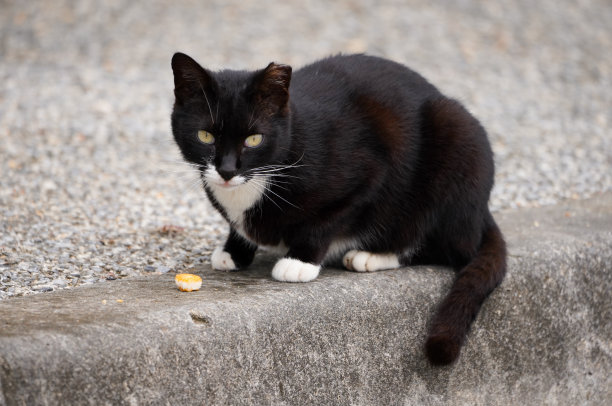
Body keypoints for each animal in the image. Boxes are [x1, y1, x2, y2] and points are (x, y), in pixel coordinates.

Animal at [170, 52, 504, 366]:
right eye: (205, 136)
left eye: (254, 139)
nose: (226, 171)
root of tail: (483, 212)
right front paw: (234, 251)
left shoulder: (367, 175)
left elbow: (327, 220)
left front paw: (299, 261)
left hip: (457, 141)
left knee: (448, 246)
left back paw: (372, 255)